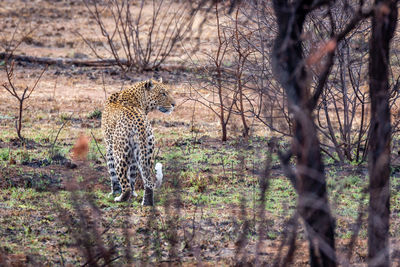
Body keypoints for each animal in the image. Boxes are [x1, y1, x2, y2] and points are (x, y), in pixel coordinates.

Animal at [101, 78, 175, 206]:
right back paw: (147, 203)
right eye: (163, 93)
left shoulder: (109, 148)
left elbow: (112, 173)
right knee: (147, 180)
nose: (174, 104)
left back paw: (120, 198)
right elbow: (132, 176)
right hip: (147, 152)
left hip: (119, 152)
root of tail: (139, 121)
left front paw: (114, 192)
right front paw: (133, 194)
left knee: (125, 184)